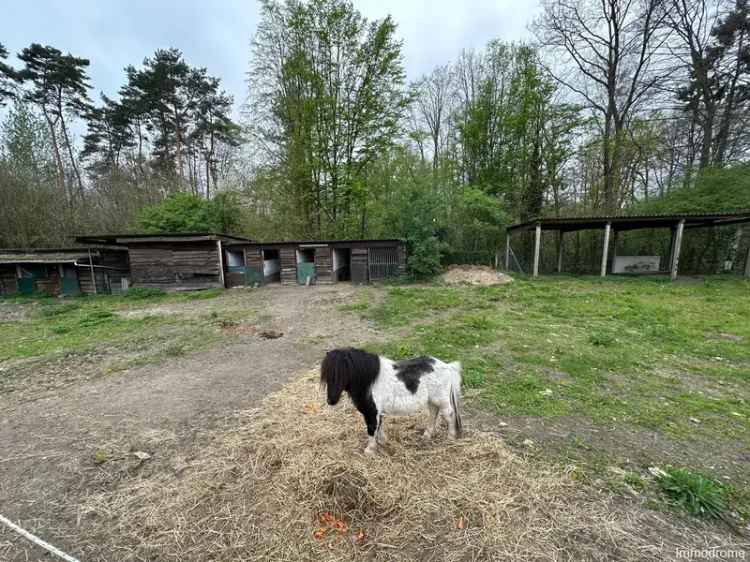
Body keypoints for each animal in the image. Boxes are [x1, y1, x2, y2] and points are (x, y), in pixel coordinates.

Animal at [322, 348, 464, 452]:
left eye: (342, 374)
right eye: (326, 375)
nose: (331, 400)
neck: (371, 382)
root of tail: (447, 366)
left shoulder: (372, 412)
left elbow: (372, 428)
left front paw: (369, 450)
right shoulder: (377, 412)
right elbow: (379, 426)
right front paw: (382, 441)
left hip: (442, 400)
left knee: (449, 415)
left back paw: (450, 437)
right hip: (432, 400)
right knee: (433, 413)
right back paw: (427, 435)